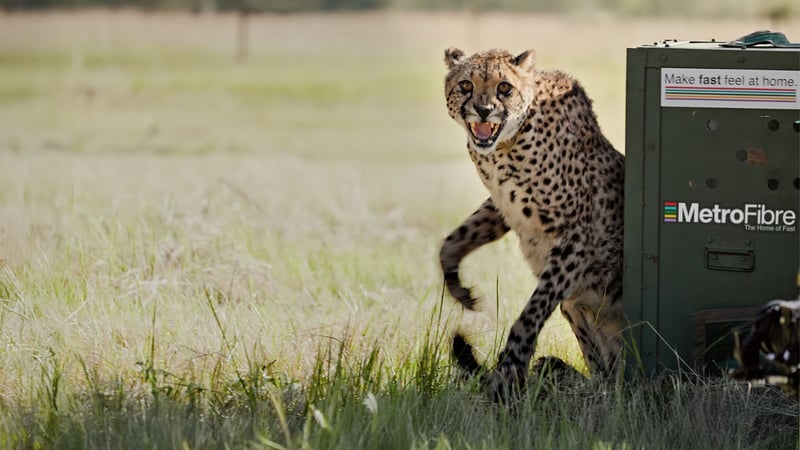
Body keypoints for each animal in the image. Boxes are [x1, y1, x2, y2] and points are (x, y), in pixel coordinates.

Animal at [439, 47, 625, 398]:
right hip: (576, 309)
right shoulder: (505, 207)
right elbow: (455, 238)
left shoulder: (575, 240)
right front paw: (456, 283)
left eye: (504, 88)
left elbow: (531, 313)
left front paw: (509, 370)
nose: (483, 110)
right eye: (466, 85)